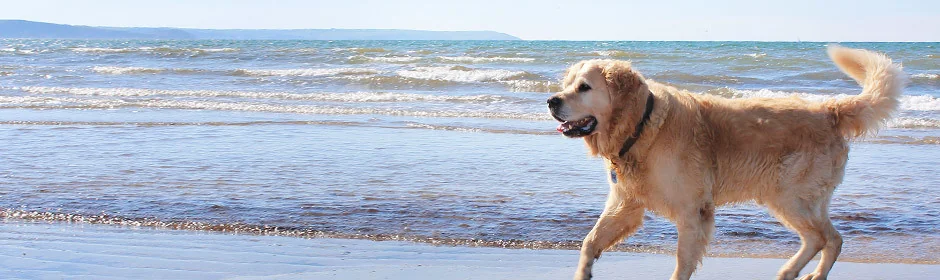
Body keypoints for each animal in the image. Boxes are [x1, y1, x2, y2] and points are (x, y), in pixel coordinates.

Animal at [548, 46, 908, 280]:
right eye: (567, 85)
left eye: (584, 87)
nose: (551, 100)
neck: (642, 126)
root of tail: (829, 110)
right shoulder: (625, 204)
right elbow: (589, 242)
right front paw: (583, 273)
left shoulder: (692, 212)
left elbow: (682, 263)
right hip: (797, 199)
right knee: (827, 238)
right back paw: (792, 272)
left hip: (788, 196)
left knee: (825, 238)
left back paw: (806, 274)